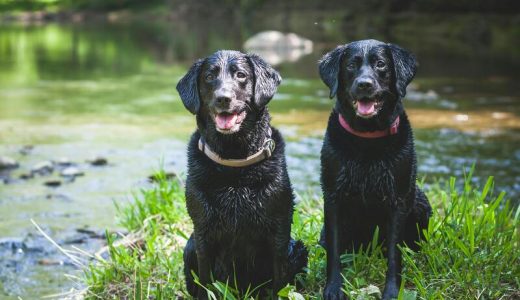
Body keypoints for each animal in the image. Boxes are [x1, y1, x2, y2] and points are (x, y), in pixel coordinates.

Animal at [178, 50, 306, 298]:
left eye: (240, 75)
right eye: (209, 76)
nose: (223, 98)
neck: (234, 164)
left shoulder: (278, 233)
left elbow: (279, 283)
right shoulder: (203, 234)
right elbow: (206, 283)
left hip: (298, 248)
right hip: (189, 247)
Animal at [318, 40, 432, 300]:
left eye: (381, 64)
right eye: (351, 65)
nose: (364, 84)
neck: (367, 140)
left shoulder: (399, 200)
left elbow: (394, 254)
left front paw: (392, 291)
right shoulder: (333, 198)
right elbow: (334, 251)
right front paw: (333, 288)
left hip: (420, 202)